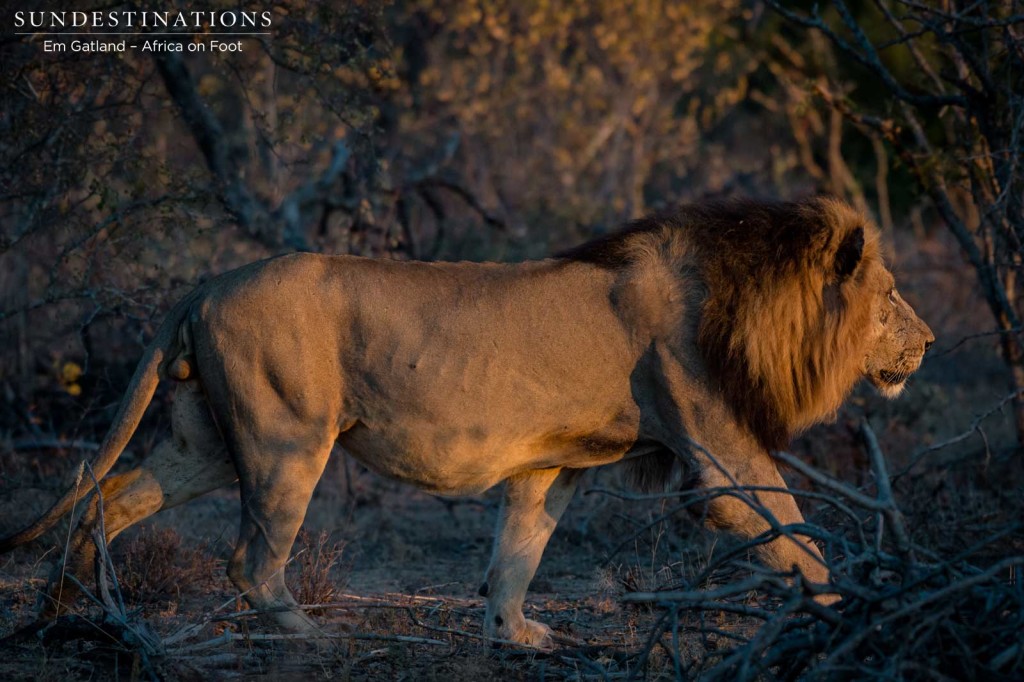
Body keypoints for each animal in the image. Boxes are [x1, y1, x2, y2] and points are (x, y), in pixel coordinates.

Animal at [0, 195, 933, 643]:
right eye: (891, 295)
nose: (926, 341)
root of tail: (203, 282)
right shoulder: (716, 448)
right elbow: (794, 532)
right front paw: (854, 609)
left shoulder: (551, 464)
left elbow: (518, 553)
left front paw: (514, 634)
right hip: (285, 440)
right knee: (247, 561)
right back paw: (309, 637)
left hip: (204, 441)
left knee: (106, 498)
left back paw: (69, 606)